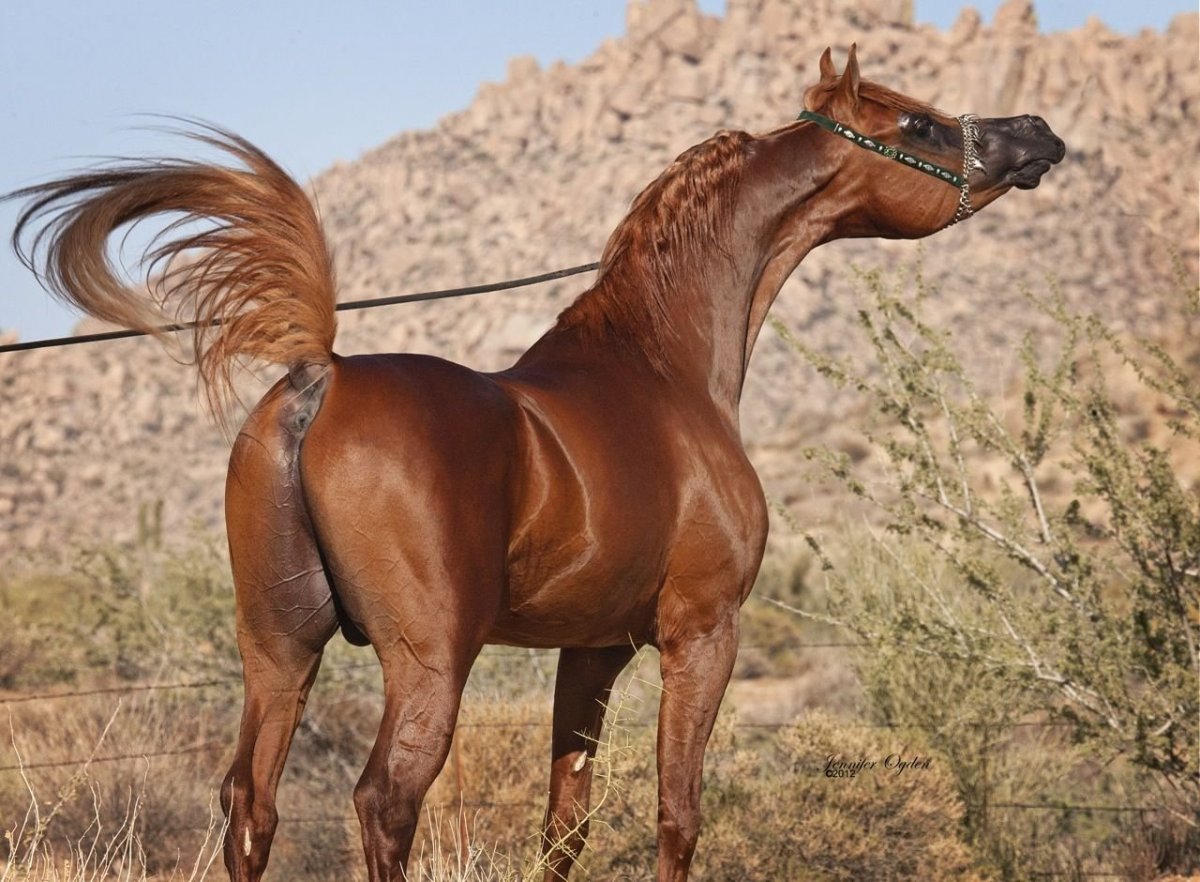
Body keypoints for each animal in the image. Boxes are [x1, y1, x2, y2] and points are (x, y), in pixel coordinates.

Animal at [9, 45, 1064, 882]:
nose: (1038, 133)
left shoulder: (590, 650)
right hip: (427, 662)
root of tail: (321, 377)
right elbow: (676, 816)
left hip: (279, 648)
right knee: (384, 802)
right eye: (918, 122)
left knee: (250, 806)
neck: (661, 370)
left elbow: (566, 826)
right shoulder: (701, 634)